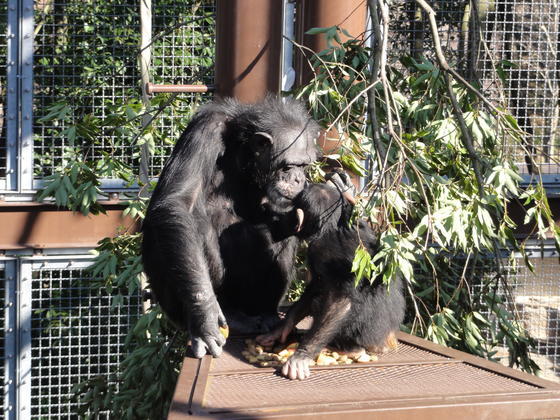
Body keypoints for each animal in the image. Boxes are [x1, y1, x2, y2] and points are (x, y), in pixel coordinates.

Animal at [142, 95, 320, 358]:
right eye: (288, 167)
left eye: (304, 166)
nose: (299, 179)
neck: (242, 151)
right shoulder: (204, 131)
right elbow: (178, 203)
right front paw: (204, 317)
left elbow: (275, 216)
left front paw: (296, 218)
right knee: (195, 226)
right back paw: (230, 315)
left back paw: (266, 313)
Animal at [258, 180, 406, 380]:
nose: (289, 218)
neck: (333, 225)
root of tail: (387, 341)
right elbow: (317, 285)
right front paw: (282, 328)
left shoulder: (325, 250)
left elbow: (339, 300)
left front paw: (301, 356)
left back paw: (350, 350)